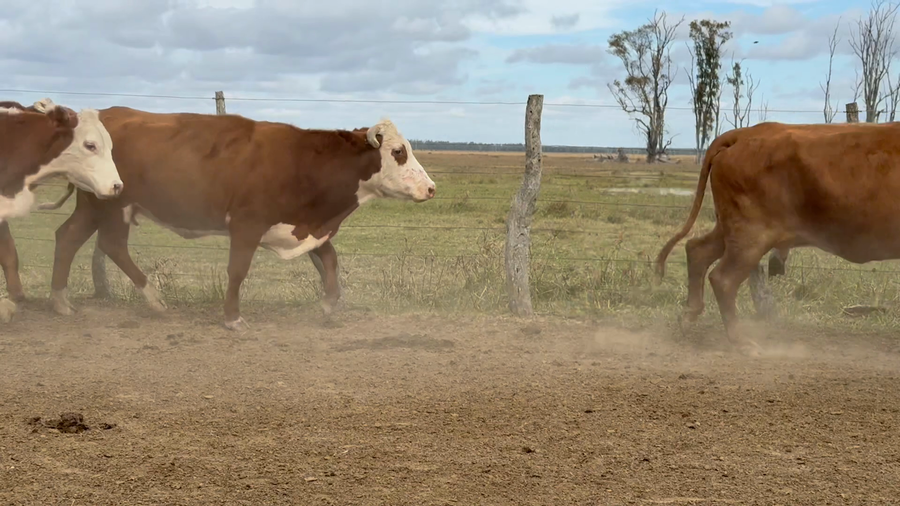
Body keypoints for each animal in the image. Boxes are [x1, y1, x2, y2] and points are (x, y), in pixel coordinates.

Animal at [41, 106, 435, 331]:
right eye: (398, 152)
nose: (430, 188)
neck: (301, 161)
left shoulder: (300, 225)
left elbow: (329, 259)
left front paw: (328, 303)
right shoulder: (247, 226)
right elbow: (238, 271)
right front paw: (232, 318)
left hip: (97, 204)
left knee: (72, 237)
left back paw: (62, 302)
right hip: (110, 205)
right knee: (108, 244)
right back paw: (151, 298)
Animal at [654, 120, 900, 354]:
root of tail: (746, 133)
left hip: (730, 229)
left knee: (697, 250)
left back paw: (688, 316)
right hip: (751, 235)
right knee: (723, 279)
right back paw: (741, 342)